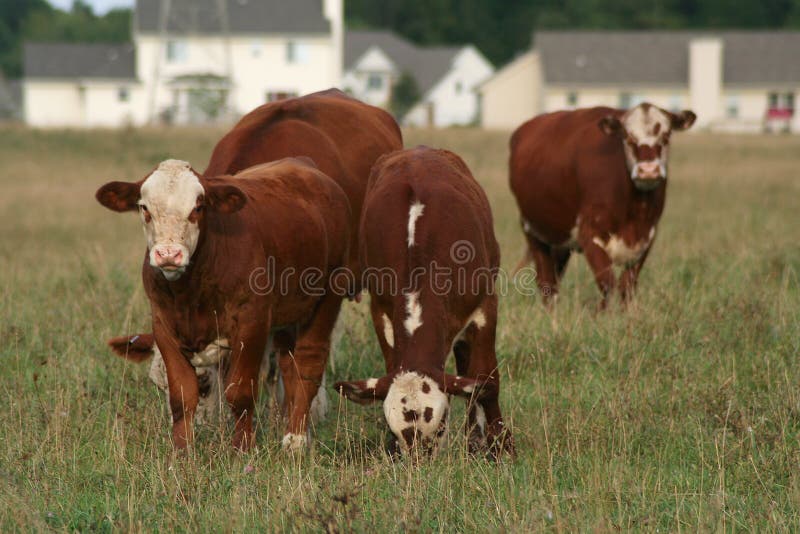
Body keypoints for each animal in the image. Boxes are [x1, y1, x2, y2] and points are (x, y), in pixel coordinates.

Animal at [94, 158, 350, 452]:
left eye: (198, 206)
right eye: (144, 207)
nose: (169, 254)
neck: (190, 294)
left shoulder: (252, 322)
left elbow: (240, 392)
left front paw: (242, 449)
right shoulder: (163, 325)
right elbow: (182, 395)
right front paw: (181, 452)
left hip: (327, 296)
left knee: (309, 362)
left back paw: (295, 440)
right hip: (289, 313)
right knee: (289, 364)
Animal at [334, 148, 516, 460]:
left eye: (441, 424)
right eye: (392, 428)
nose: (420, 463)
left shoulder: (485, 306)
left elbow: (486, 378)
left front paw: (501, 445)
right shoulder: (380, 311)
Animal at [512, 103, 692, 310]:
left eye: (666, 135)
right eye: (627, 136)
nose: (648, 170)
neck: (635, 211)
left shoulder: (647, 237)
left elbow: (627, 285)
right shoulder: (590, 235)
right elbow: (608, 284)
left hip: (560, 240)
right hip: (533, 231)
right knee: (546, 283)